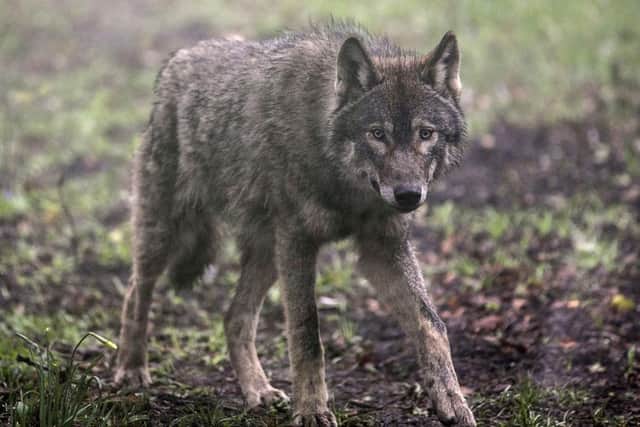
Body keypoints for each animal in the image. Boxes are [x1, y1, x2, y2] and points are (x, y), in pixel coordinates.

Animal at [114, 21, 475, 426]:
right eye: (377, 134)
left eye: (425, 134)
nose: (408, 195)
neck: (345, 186)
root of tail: (179, 57)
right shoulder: (299, 242)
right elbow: (306, 335)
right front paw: (313, 410)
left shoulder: (382, 249)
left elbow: (432, 325)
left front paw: (451, 400)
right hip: (168, 233)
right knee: (137, 290)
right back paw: (131, 369)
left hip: (268, 253)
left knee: (234, 317)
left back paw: (258, 391)